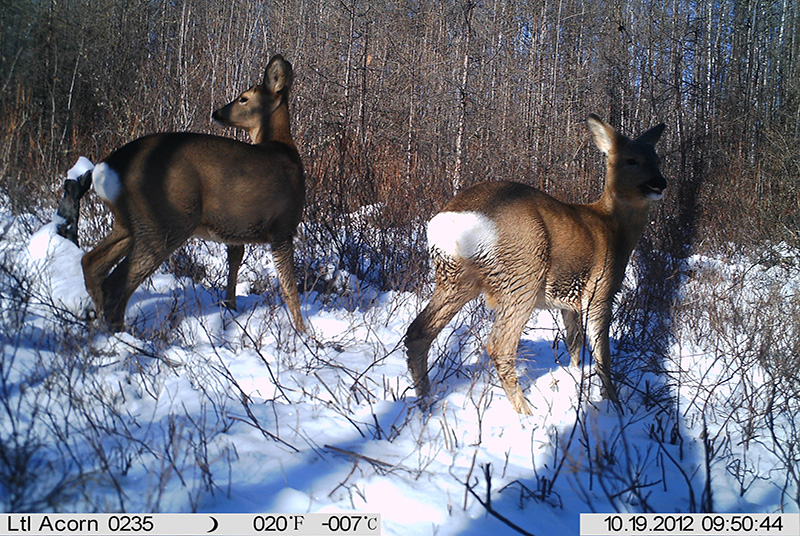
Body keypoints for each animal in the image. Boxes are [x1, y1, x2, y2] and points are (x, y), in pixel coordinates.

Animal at [82, 54, 306, 330]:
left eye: (243, 98)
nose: (217, 112)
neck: (285, 149)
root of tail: (109, 165)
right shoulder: (282, 226)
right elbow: (289, 287)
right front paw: (303, 333)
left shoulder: (239, 227)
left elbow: (236, 260)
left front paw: (230, 307)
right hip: (166, 219)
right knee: (115, 284)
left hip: (128, 222)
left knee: (91, 263)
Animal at [404, 115, 664, 412]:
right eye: (631, 160)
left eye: (657, 158)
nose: (660, 183)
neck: (613, 226)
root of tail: (453, 219)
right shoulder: (600, 291)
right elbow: (602, 355)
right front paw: (613, 403)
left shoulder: (568, 302)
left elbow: (574, 344)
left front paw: (573, 378)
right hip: (522, 271)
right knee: (500, 346)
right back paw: (526, 414)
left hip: (455, 277)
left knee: (418, 332)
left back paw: (425, 401)